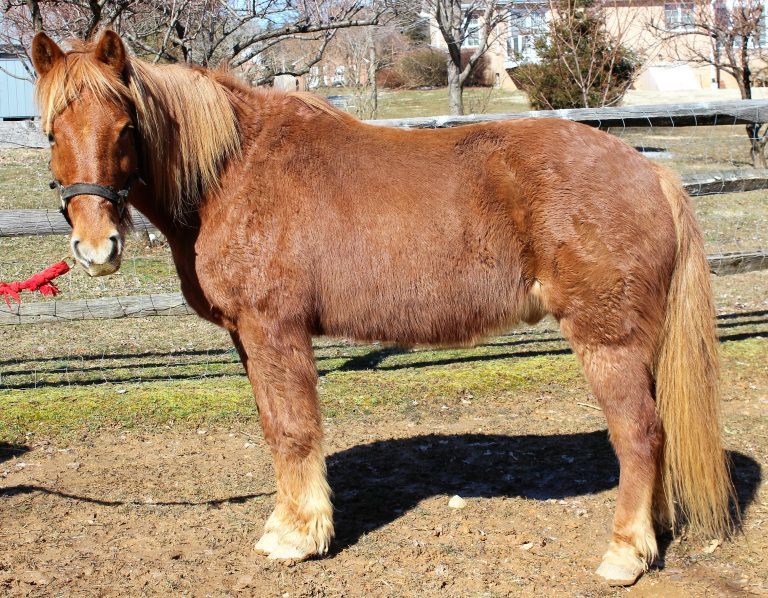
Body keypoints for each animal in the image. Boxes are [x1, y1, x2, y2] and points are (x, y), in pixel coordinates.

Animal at [33, 30, 736, 588]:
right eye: (51, 132)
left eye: (126, 127)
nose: (96, 248)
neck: (232, 172)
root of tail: (648, 172)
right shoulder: (247, 338)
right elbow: (273, 429)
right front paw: (285, 524)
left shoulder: (274, 330)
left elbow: (294, 430)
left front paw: (299, 537)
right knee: (657, 431)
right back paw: (654, 533)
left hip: (606, 340)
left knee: (638, 434)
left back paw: (624, 554)